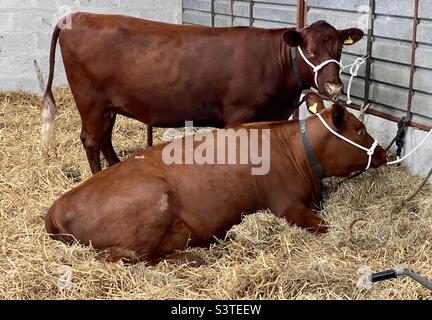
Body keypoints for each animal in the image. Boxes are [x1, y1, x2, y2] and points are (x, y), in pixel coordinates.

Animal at [41, 12, 364, 174]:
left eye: (340, 48)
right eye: (309, 50)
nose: (334, 87)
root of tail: (75, 16)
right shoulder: (238, 113)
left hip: (107, 106)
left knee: (104, 139)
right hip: (91, 103)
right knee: (91, 140)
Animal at [44, 93, 388, 264]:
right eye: (360, 129)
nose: (384, 152)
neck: (296, 151)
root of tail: (57, 206)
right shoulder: (286, 206)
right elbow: (324, 225)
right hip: (152, 205)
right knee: (127, 257)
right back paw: (196, 258)